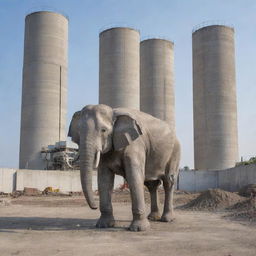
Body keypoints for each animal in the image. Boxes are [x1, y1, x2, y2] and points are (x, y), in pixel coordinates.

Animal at [67, 103, 180, 231]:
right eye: (79, 132)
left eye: (103, 130)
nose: (94, 207)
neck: (114, 112)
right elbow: (104, 180)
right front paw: (103, 225)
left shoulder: (135, 145)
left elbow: (134, 177)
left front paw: (139, 229)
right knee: (152, 184)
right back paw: (153, 217)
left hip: (174, 153)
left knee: (168, 181)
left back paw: (167, 219)